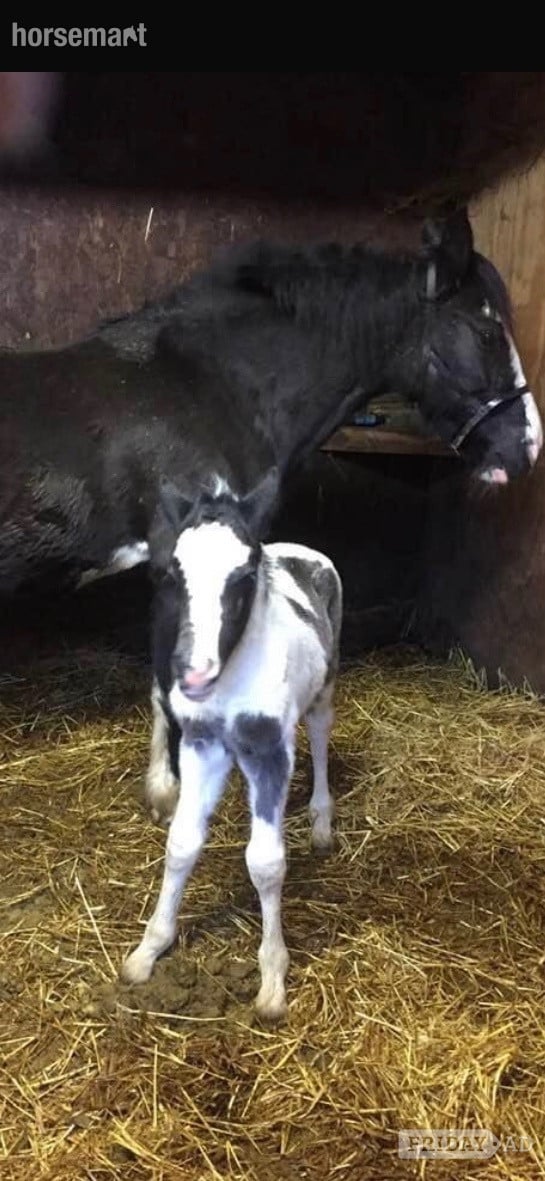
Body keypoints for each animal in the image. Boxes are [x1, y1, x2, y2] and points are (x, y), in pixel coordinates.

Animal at [122, 473, 342, 1019]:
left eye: (243, 574)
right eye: (171, 572)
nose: (194, 675)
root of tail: (301, 549)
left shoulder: (269, 755)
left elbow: (265, 861)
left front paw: (272, 981)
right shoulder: (203, 746)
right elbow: (181, 843)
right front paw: (147, 952)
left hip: (326, 687)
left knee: (320, 735)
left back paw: (321, 824)